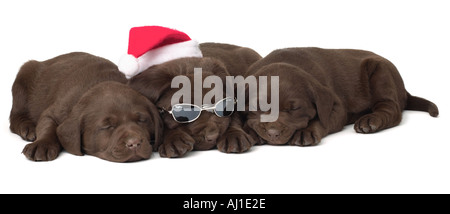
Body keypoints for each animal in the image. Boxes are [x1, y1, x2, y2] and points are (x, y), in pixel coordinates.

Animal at [10, 52, 163, 162]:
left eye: (142, 120)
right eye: (107, 126)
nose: (134, 143)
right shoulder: (54, 112)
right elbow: (47, 126)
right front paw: (42, 145)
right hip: (23, 78)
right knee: (15, 117)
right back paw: (28, 128)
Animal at [244, 47, 438, 146]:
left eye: (295, 109)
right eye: (257, 108)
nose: (273, 133)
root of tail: (404, 90)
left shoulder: (335, 107)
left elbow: (322, 120)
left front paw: (306, 132)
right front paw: (249, 132)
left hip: (380, 71)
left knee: (392, 109)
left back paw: (370, 122)